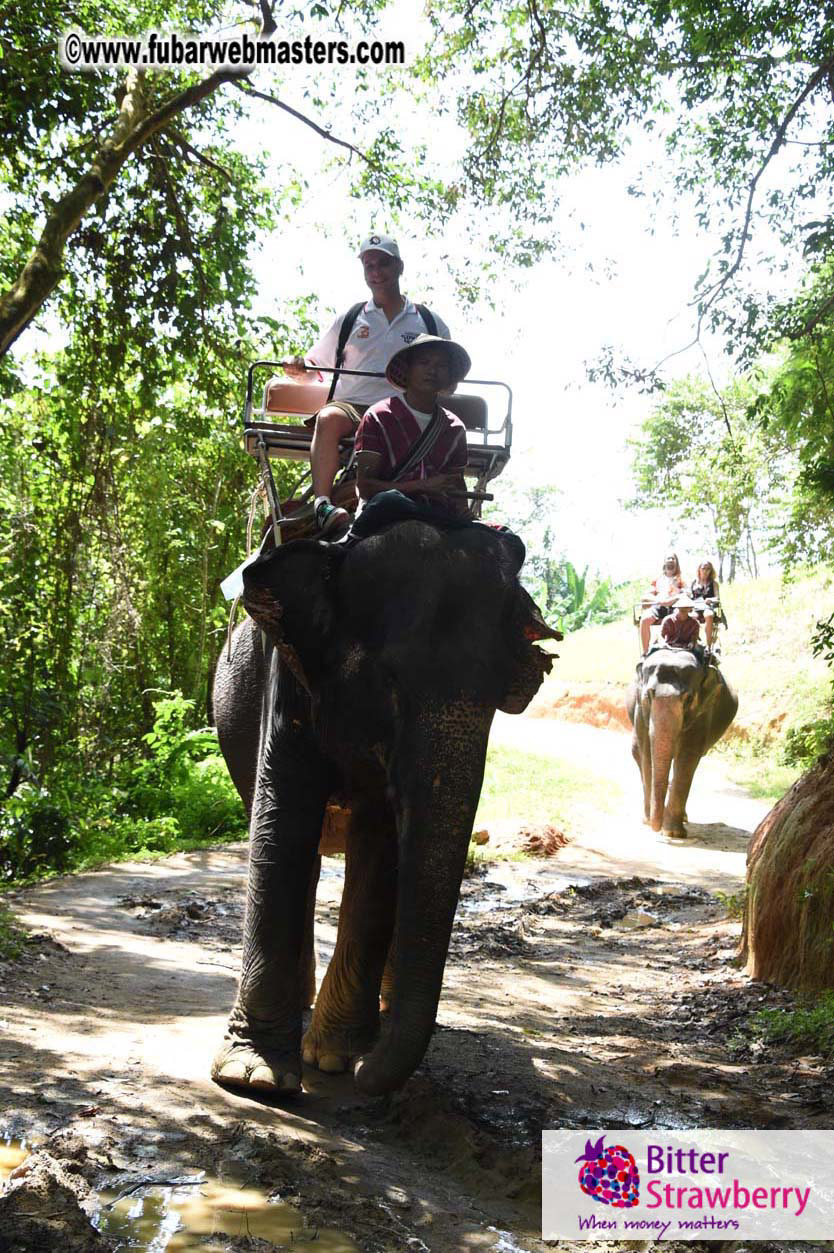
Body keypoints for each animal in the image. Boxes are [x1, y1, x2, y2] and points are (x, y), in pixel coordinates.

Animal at [210, 519, 559, 1097]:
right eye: (389, 683)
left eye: (498, 696)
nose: (366, 1073)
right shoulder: (288, 673)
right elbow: (282, 819)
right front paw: (256, 1076)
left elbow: (381, 846)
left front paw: (336, 1058)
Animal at [626, 647, 738, 838]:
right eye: (648, 695)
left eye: (689, 698)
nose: (656, 828)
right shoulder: (640, 711)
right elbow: (646, 752)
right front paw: (651, 822)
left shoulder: (703, 711)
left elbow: (688, 756)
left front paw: (672, 832)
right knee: (637, 752)